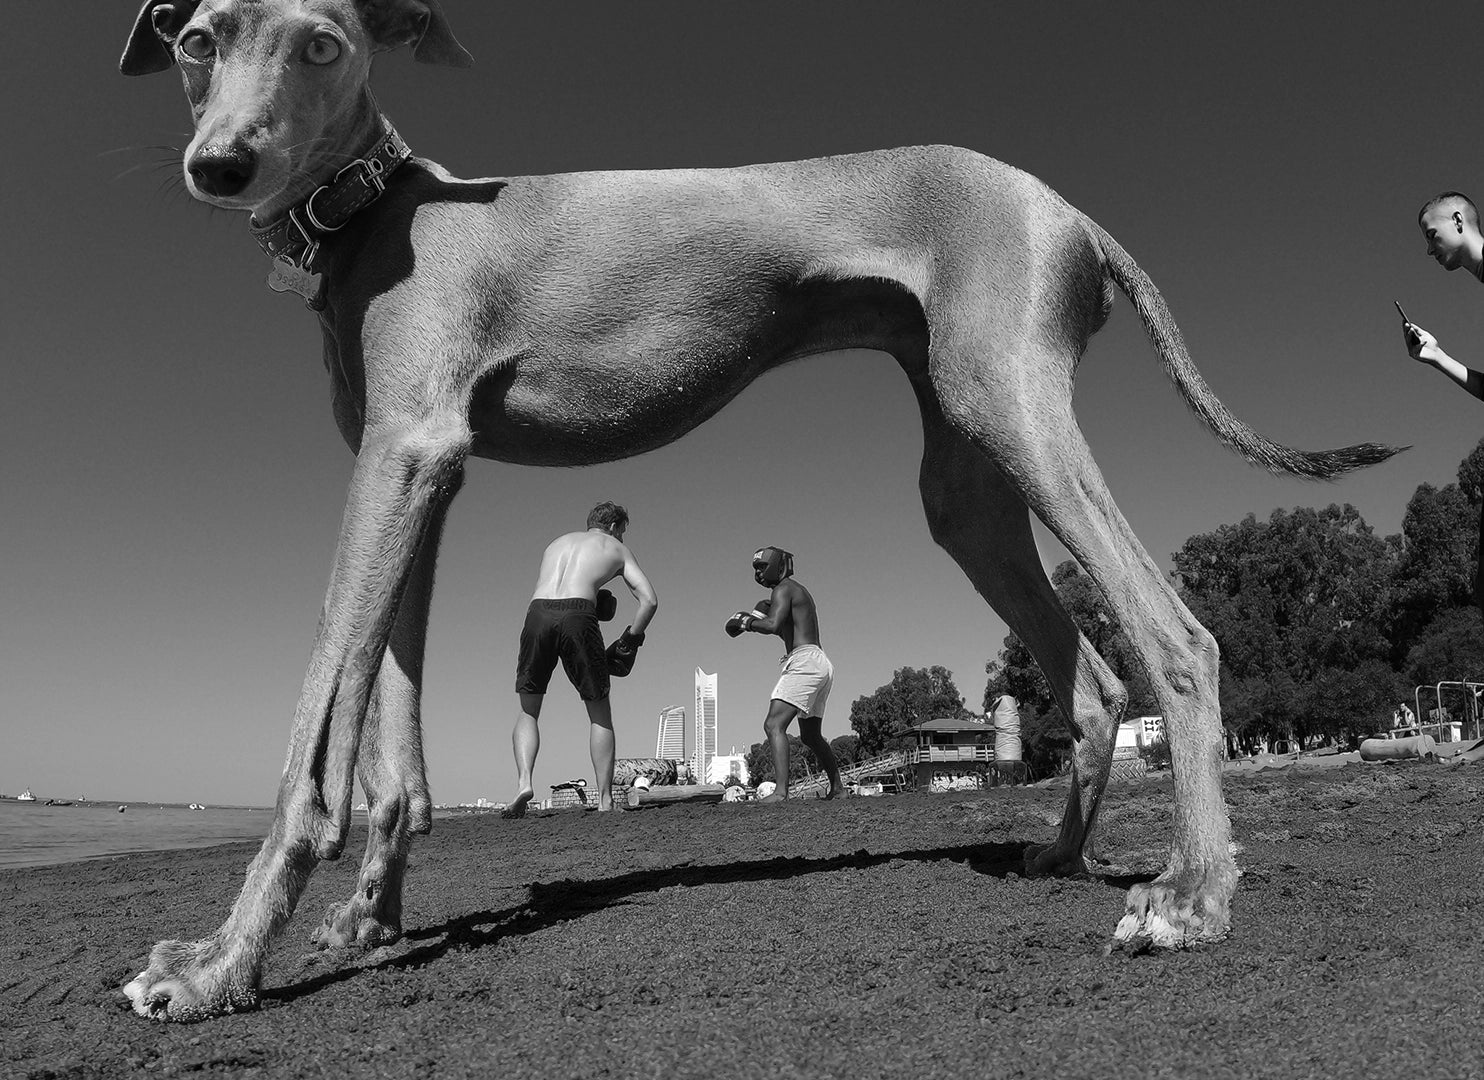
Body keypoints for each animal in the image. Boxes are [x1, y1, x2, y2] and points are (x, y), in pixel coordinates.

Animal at [121, 0, 1394, 1020]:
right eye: (197, 40)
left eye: (320, 42)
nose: (220, 165)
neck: (378, 214)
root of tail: (1068, 212)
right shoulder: (419, 478)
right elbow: (389, 725)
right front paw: (365, 924)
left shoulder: (404, 457)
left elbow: (307, 741)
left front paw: (217, 964)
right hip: (964, 481)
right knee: (1083, 677)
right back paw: (1063, 857)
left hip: (1014, 412)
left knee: (1175, 638)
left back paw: (1191, 898)